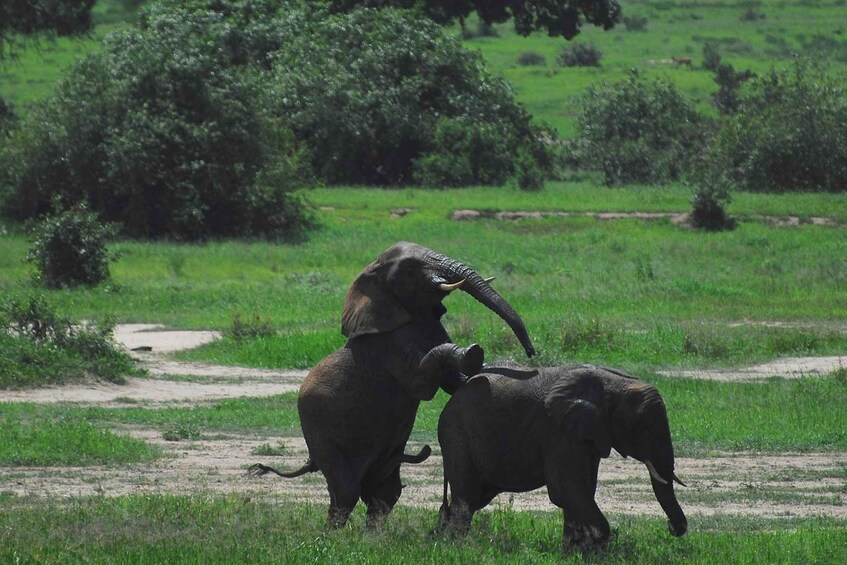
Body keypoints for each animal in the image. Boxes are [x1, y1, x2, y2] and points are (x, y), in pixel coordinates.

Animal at [249, 241, 535, 528]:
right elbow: (422, 379)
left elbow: (452, 383)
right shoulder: (388, 344)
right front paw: (473, 352)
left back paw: (373, 536)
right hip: (322, 437)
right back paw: (334, 536)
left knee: (385, 493)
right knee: (345, 492)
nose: (531, 352)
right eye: (410, 269)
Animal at [436, 364, 687, 552]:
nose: (671, 528)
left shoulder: (589, 435)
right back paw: (455, 547)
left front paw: (571, 552)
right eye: (642, 428)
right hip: (457, 433)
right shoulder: (559, 431)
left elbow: (581, 490)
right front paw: (595, 552)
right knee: (466, 498)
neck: (614, 384)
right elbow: (566, 490)